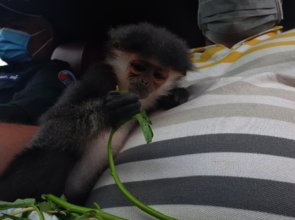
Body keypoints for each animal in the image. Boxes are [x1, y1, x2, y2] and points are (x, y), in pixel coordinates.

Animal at [0, 22, 193, 205]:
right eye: (139, 67)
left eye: (158, 75)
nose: (145, 81)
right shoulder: (100, 74)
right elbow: (55, 120)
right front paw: (110, 111)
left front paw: (175, 95)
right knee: (56, 153)